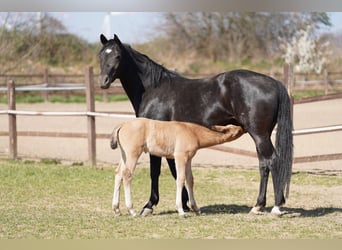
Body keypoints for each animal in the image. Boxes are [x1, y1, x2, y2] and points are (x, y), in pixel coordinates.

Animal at [109, 117, 243, 217]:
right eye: (236, 130)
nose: (243, 127)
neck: (193, 132)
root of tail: (122, 124)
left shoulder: (188, 159)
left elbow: (190, 180)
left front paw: (196, 209)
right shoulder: (180, 157)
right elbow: (180, 179)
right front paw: (181, 210)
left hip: (124, 154)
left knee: (118, 173)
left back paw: (116, 209)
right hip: (133, 153)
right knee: (127, 174)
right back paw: (131, 210)